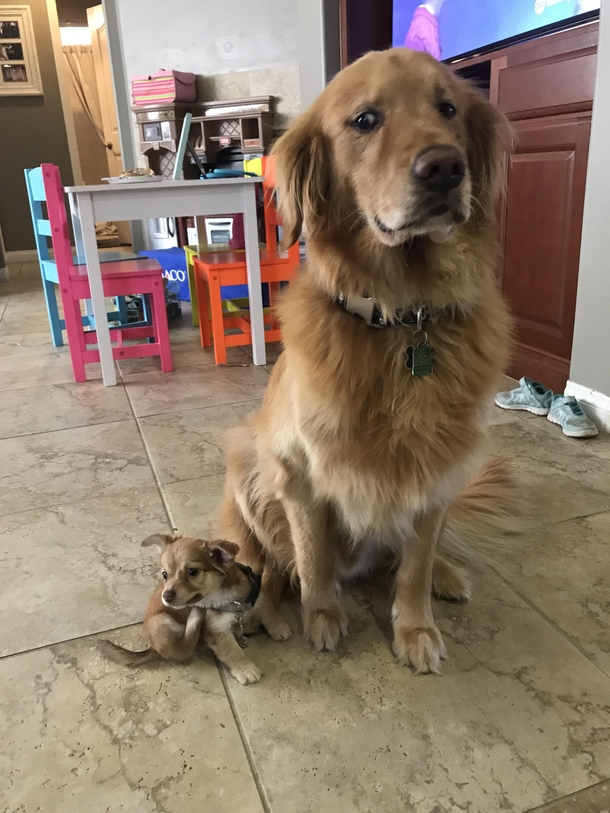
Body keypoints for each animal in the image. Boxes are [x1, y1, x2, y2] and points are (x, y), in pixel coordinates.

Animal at [98, 532, 290, 684]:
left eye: (192, 572)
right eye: (165, 574)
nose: (166, 596)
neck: (226, 598)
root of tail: (152, 647)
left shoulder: (259, 596)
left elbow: (270, 614)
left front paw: (280, 630)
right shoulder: (217, 631)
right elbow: (232, 652)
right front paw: (246, 670)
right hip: (161, 622)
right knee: (183, 647)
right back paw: (195, 617)